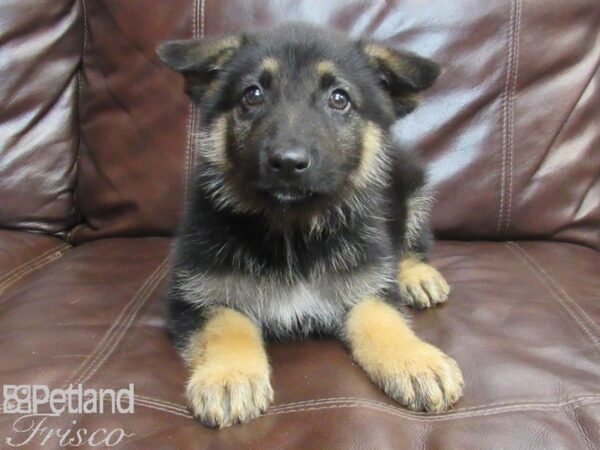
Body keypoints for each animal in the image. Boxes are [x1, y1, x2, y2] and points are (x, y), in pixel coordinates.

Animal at [159, 22, 464, 428]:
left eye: (339, 99)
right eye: (252, 94)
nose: (287, 162)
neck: (294, 229)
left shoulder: (366, 283)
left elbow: (383, 319)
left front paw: (416, 360)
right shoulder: (195, 295)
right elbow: (227, 324)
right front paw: (229, 375)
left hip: (411, 186)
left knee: (413, 244)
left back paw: (418, 276)